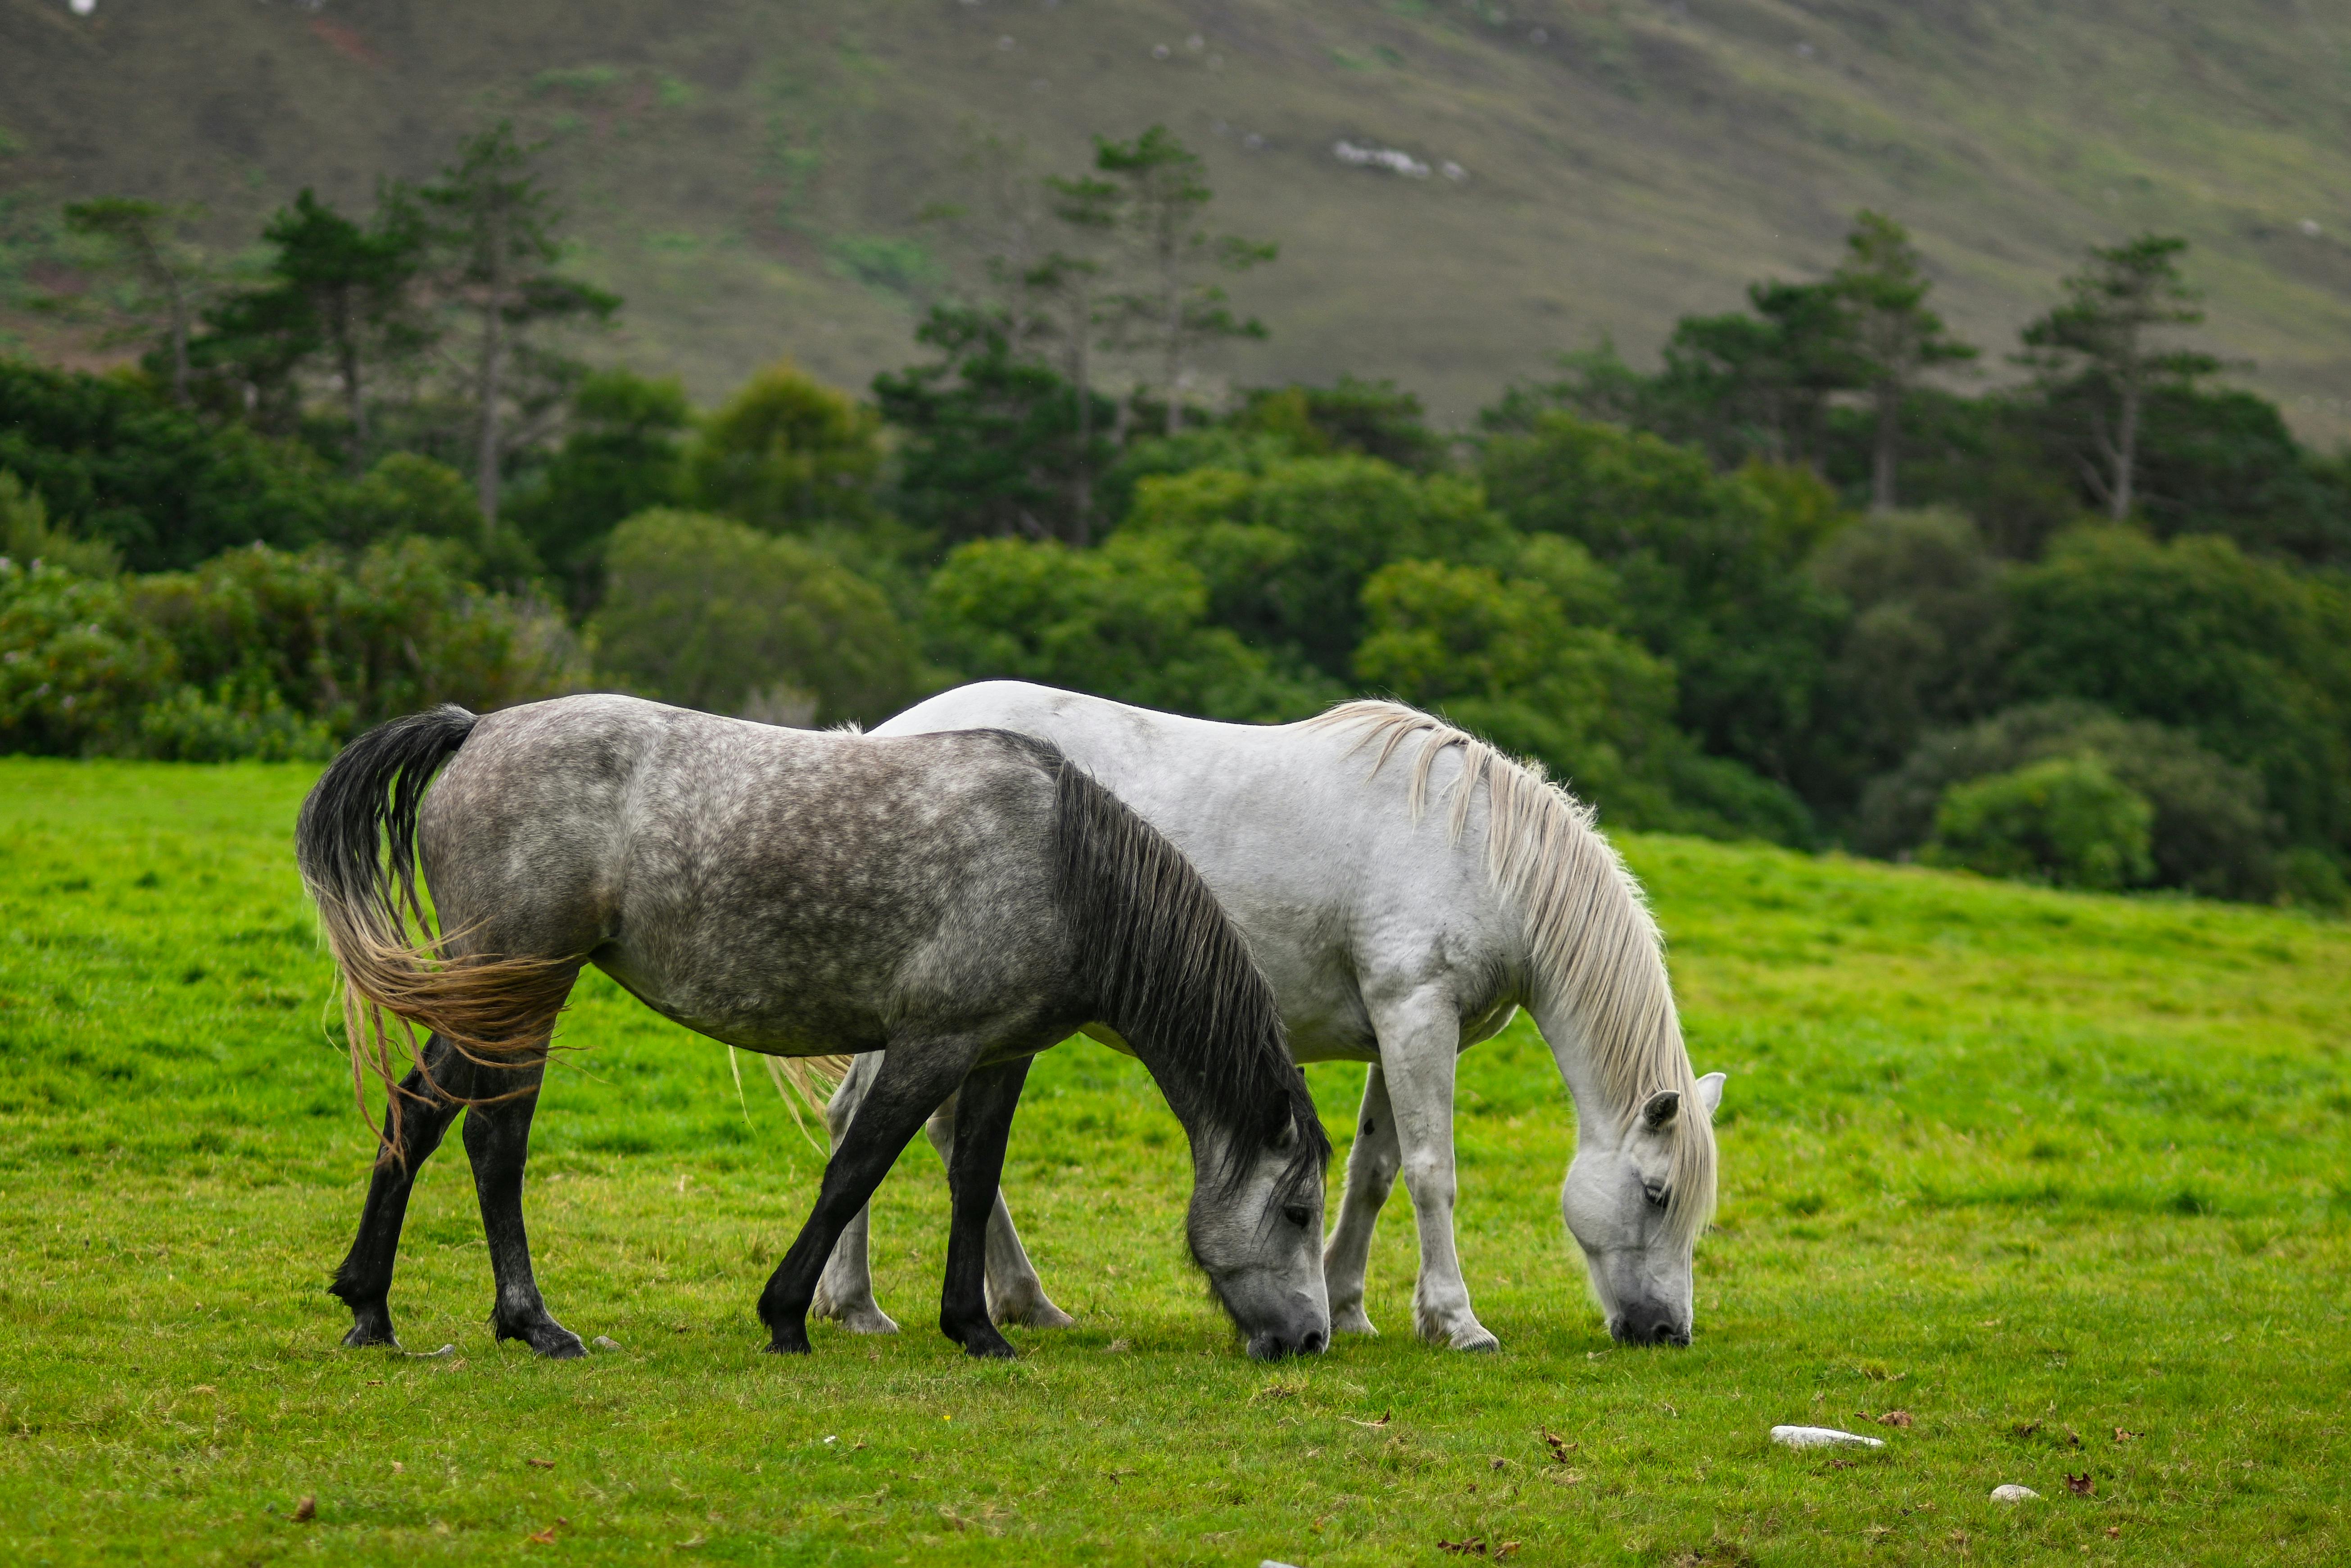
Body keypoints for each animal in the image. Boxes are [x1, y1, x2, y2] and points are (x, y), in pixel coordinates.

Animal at [294, 694, 1331, 1361]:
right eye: (1297, 1212)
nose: (1313, 1338)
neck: (1060, 865)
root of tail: (478, 729)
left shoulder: (999, 1055)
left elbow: (972, 1182)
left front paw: (977, 1327)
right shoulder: (930, 1046)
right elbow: (855, 1170)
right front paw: (788, 1314)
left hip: (488, 994)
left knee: (419, 1114)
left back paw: (370, 1307)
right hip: (527, 988)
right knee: (495, 1139)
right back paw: (532, 1322)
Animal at [815, 683, 1725, 1351]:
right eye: (1656, 1195)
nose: (1665, 1332)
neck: (1474, 849)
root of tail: (876, 740)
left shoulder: (1402, 1031)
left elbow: (1376, 1171)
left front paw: (1350, 1305)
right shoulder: (1417, 1018)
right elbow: (1433, 1172)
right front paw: (1458, 1321)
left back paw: (1021, 1301)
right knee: (867, 1123)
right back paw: (858, 1303)